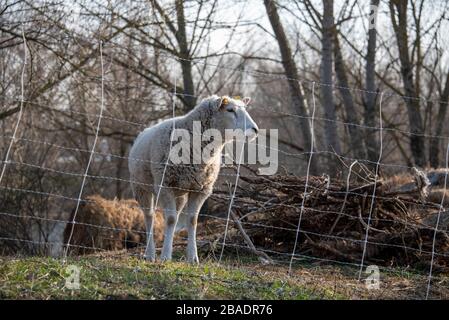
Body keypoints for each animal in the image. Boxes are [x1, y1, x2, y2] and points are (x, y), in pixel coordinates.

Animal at [128, 94, 258, 262]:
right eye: (230, 110)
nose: (255, 130)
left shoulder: (201, 189)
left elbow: (192, 221)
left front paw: (193, 257)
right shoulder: (165, 184)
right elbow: (170, 219)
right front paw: (165, 256)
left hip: (180, 193)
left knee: (174, 217)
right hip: (141, 187)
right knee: (149, 217)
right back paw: (150, 254)